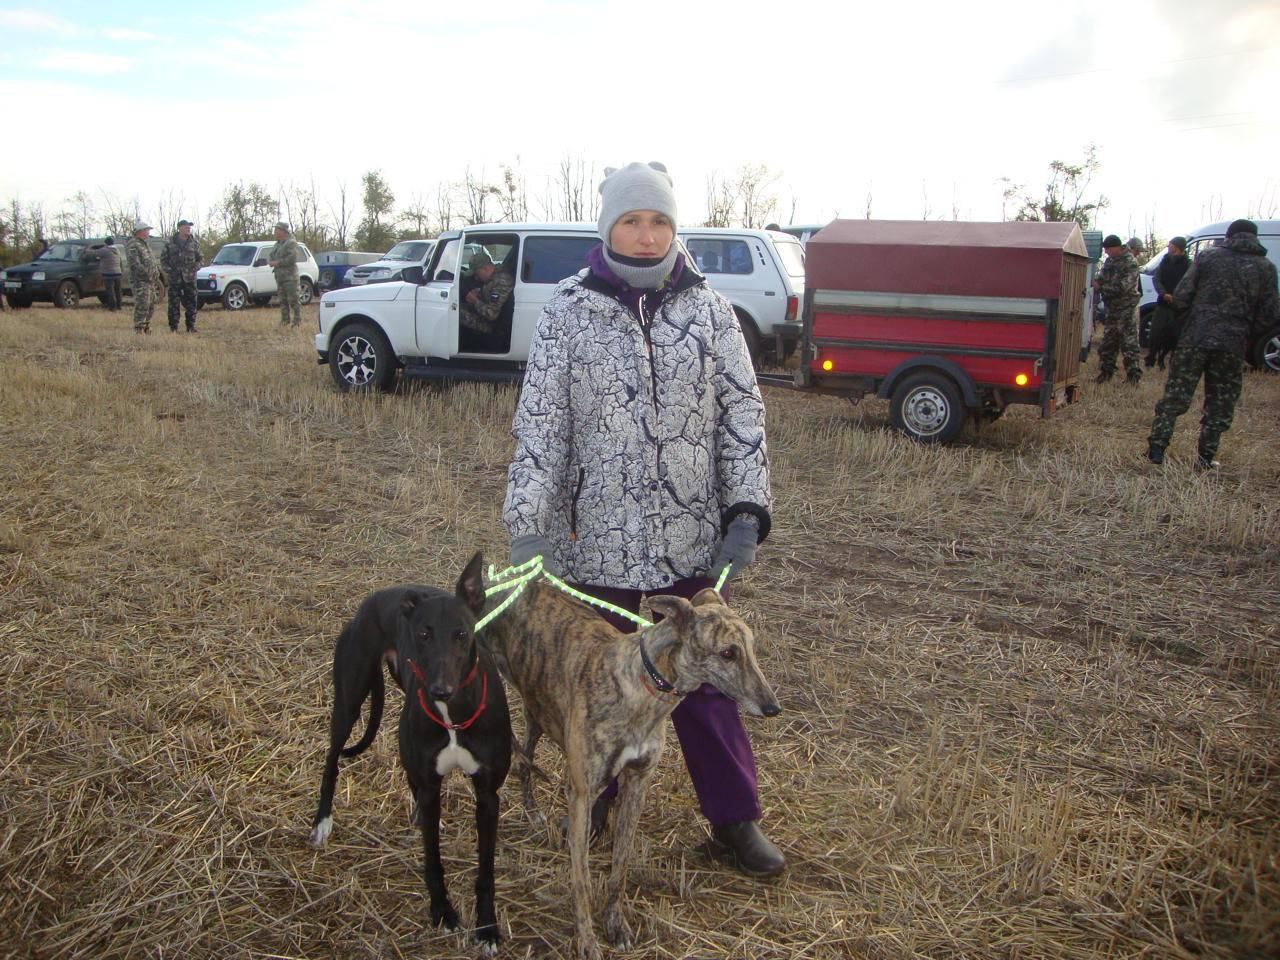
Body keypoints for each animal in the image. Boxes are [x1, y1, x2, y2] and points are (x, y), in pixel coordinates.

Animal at [307, 555, 512, 957]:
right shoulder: (434, 788)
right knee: (331, 761)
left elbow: (486, 870)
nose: (439, 690)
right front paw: (443, 912)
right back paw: (323, 821)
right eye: (423, 634)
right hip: (349, 701)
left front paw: (487, 928)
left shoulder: (488, 795)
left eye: (462, 634)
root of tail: (375, 600)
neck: (453, 716)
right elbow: (433, 860)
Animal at [481, 578, 773, 960]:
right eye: (728, 653)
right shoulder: (581, 794)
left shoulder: (637, 783)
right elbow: (581, 881)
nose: (773, 706)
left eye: (751, 648)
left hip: (537, 710)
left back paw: (532, 812)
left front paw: (616, 925)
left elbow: (619, 867)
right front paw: (587, 942)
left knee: (523, 761)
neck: (644, 685)